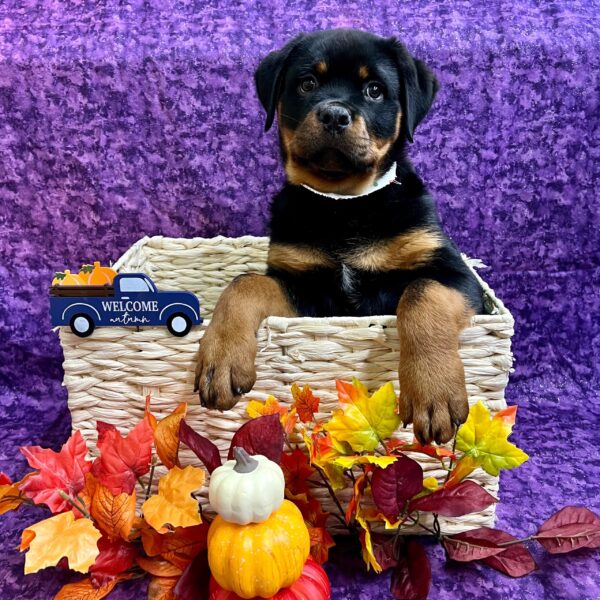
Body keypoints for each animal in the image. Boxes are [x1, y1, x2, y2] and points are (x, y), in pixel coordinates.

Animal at [195, 29, 486, 446]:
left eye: (375, 90)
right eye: (307, 83)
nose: (334, 114)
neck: (344, 205)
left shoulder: (457, 276)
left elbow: (422, 293)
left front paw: (434, 390)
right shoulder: (307, 290)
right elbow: (245, 283)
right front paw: (220, 359)